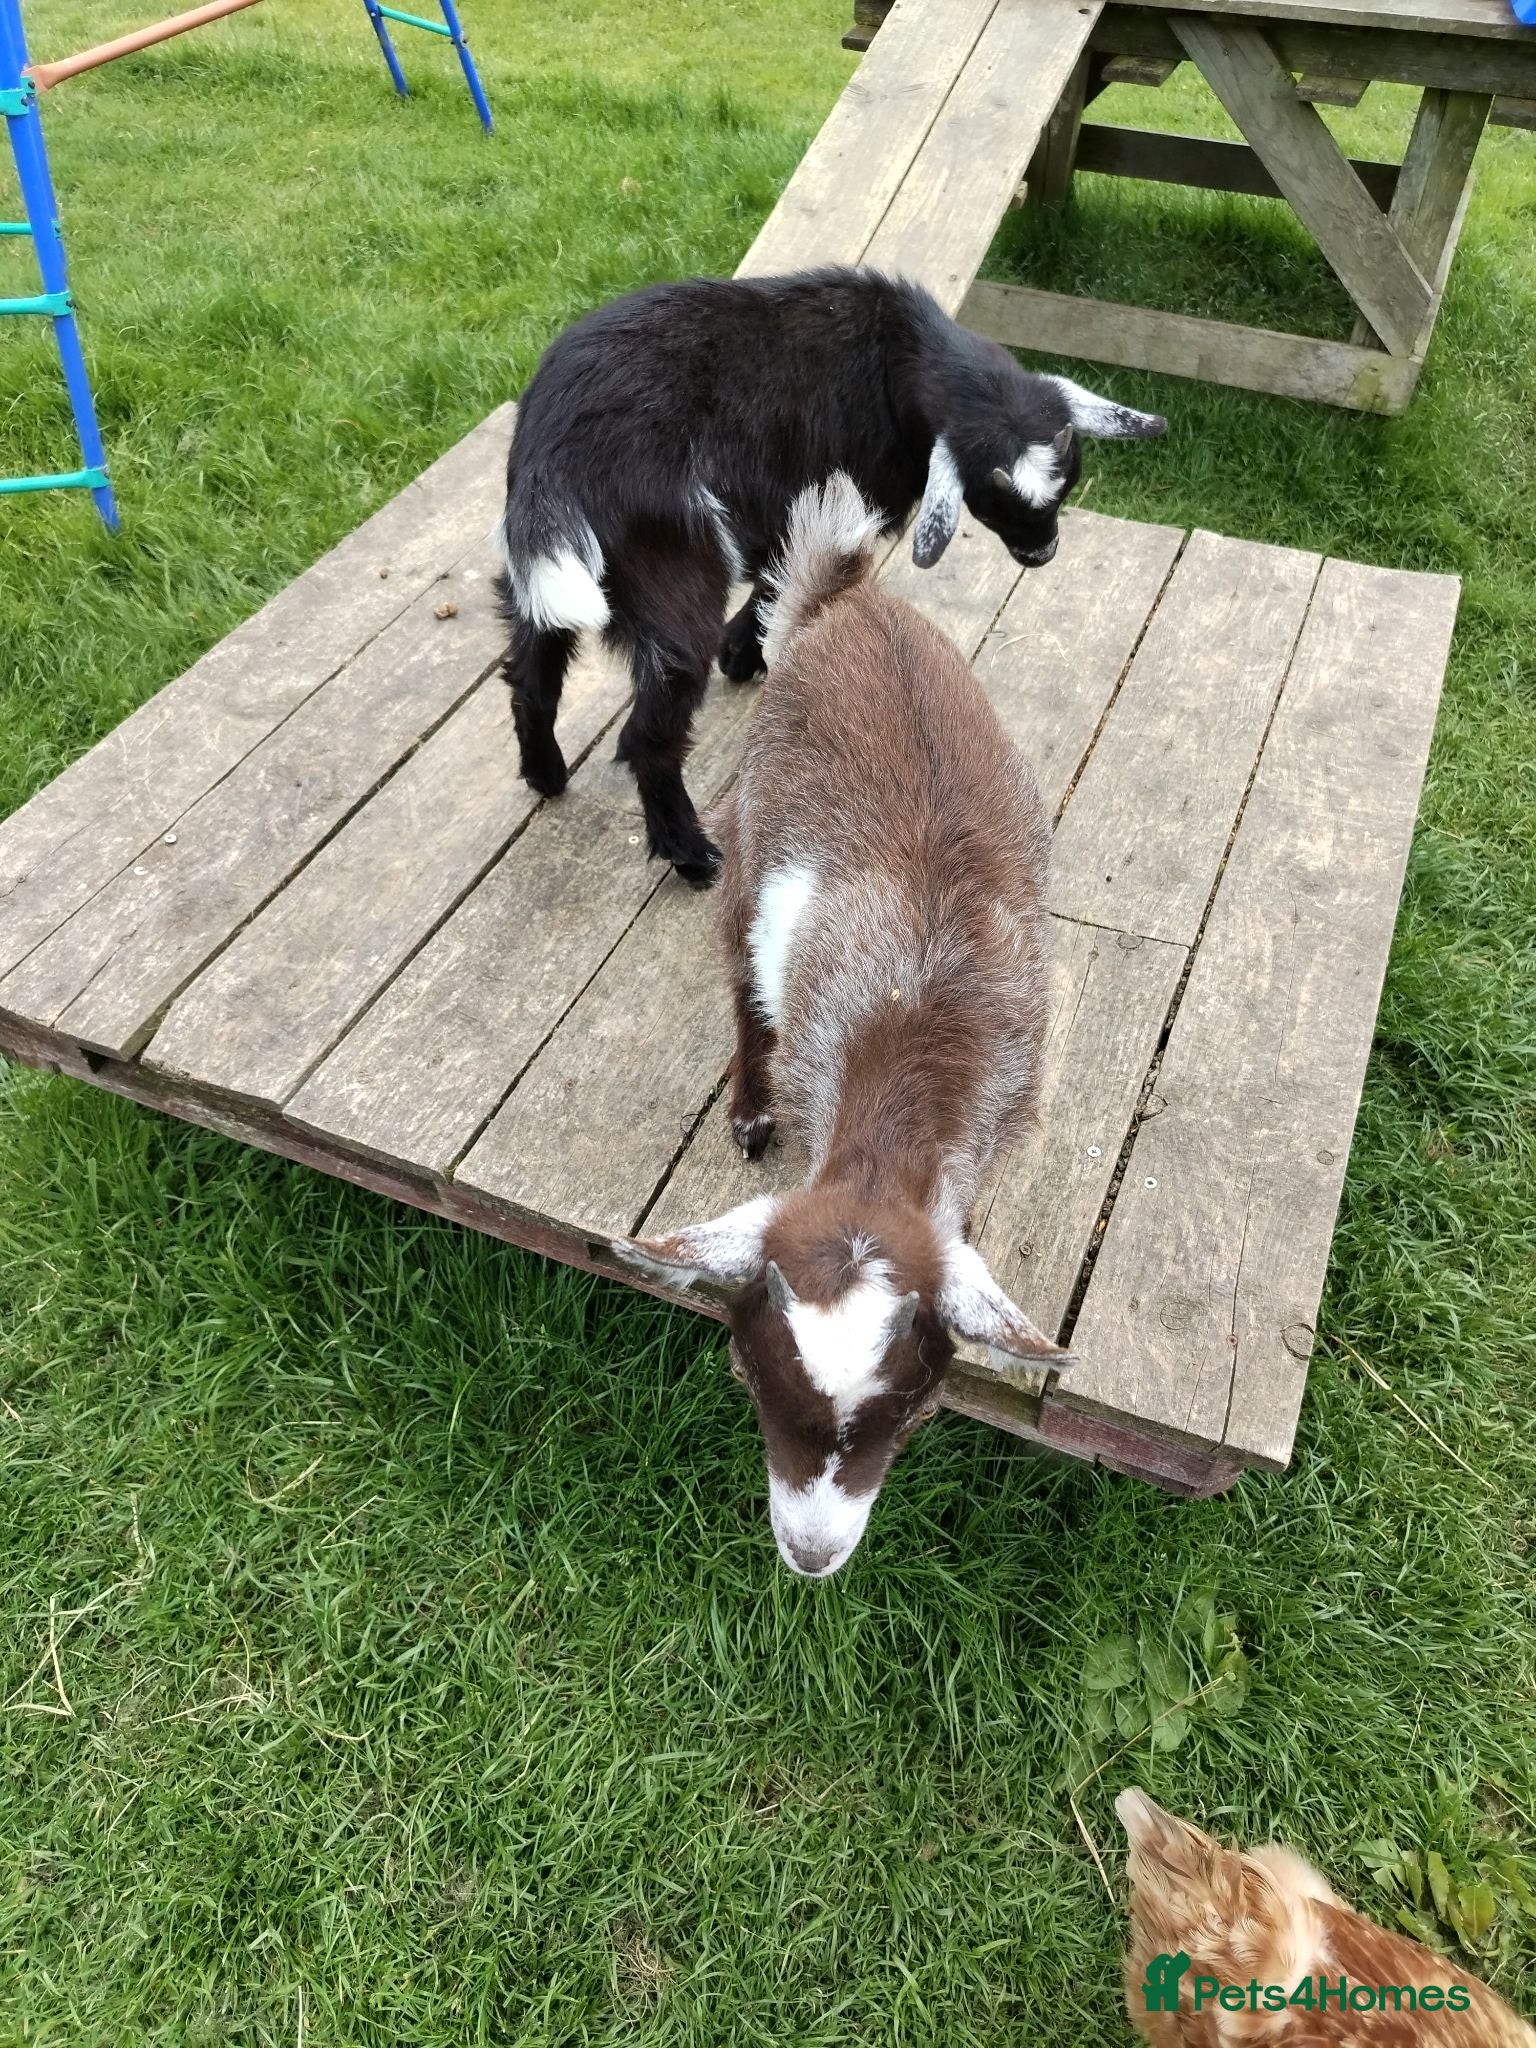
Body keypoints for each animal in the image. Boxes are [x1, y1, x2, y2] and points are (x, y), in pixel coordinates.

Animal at [496, 265, 1165, 886]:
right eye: (993, 499)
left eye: (1068, 480)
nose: (1041, 552)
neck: (895, 357)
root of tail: (554, 453)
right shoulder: (816, 503)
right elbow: (785, 576)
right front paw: (746, 653)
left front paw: (749, 652)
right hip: (671, 571)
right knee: (649, 731)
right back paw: (690, 852)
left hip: (550, 576)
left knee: (532, 669)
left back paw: (545, 773)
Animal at [616, 474, 1073, 1577]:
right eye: (742, 1373)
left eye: (920, 1410)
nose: (811, 1555)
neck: (912, 1037)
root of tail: (844, 602)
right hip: (746, 837)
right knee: (743, 977)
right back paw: (747, 1108)